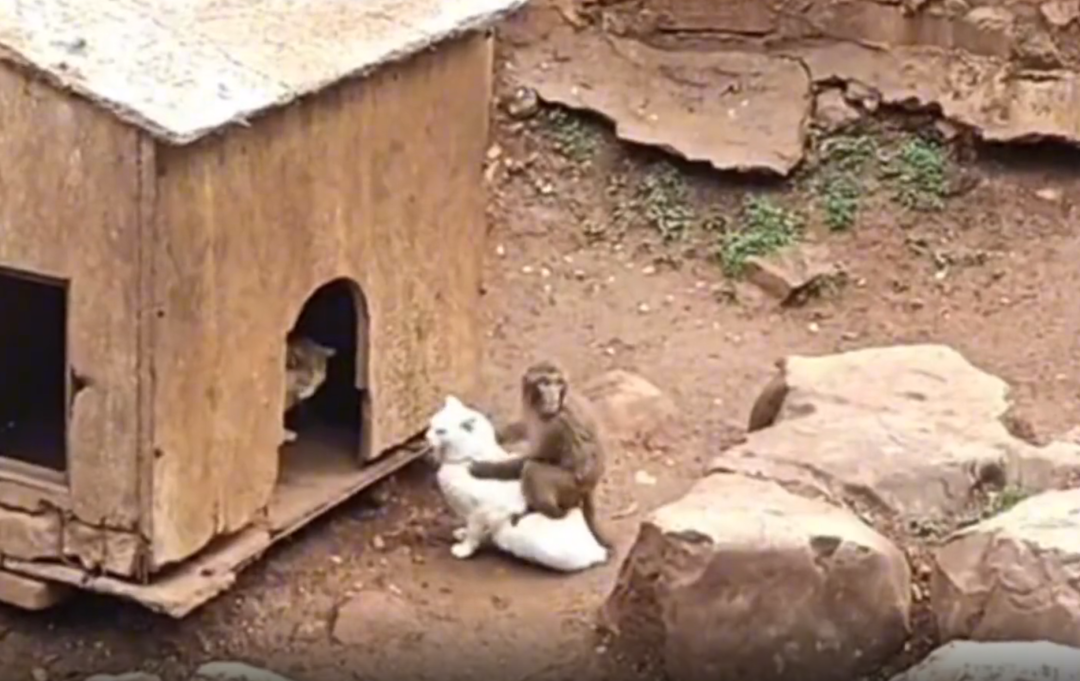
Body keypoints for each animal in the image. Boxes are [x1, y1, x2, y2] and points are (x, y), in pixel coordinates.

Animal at [425, 397, 613, 574]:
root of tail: (599, 550)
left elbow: (473, 532)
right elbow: (473, 528)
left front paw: (465, 548)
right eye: (431, 425)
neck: (463, 460)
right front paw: (464, 533)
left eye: (440, 431)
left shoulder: (482, 511)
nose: (426, 437)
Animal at [468, 362, 613, 548]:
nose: (553, 396)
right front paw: (498, 433)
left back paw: (551, 512)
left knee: (532, 469)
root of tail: (590, 487)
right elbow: (525, 428)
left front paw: (484, 468)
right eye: (544, 383)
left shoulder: (557, 426)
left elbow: (538, 458)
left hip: (571, 487)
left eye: (558, 383)